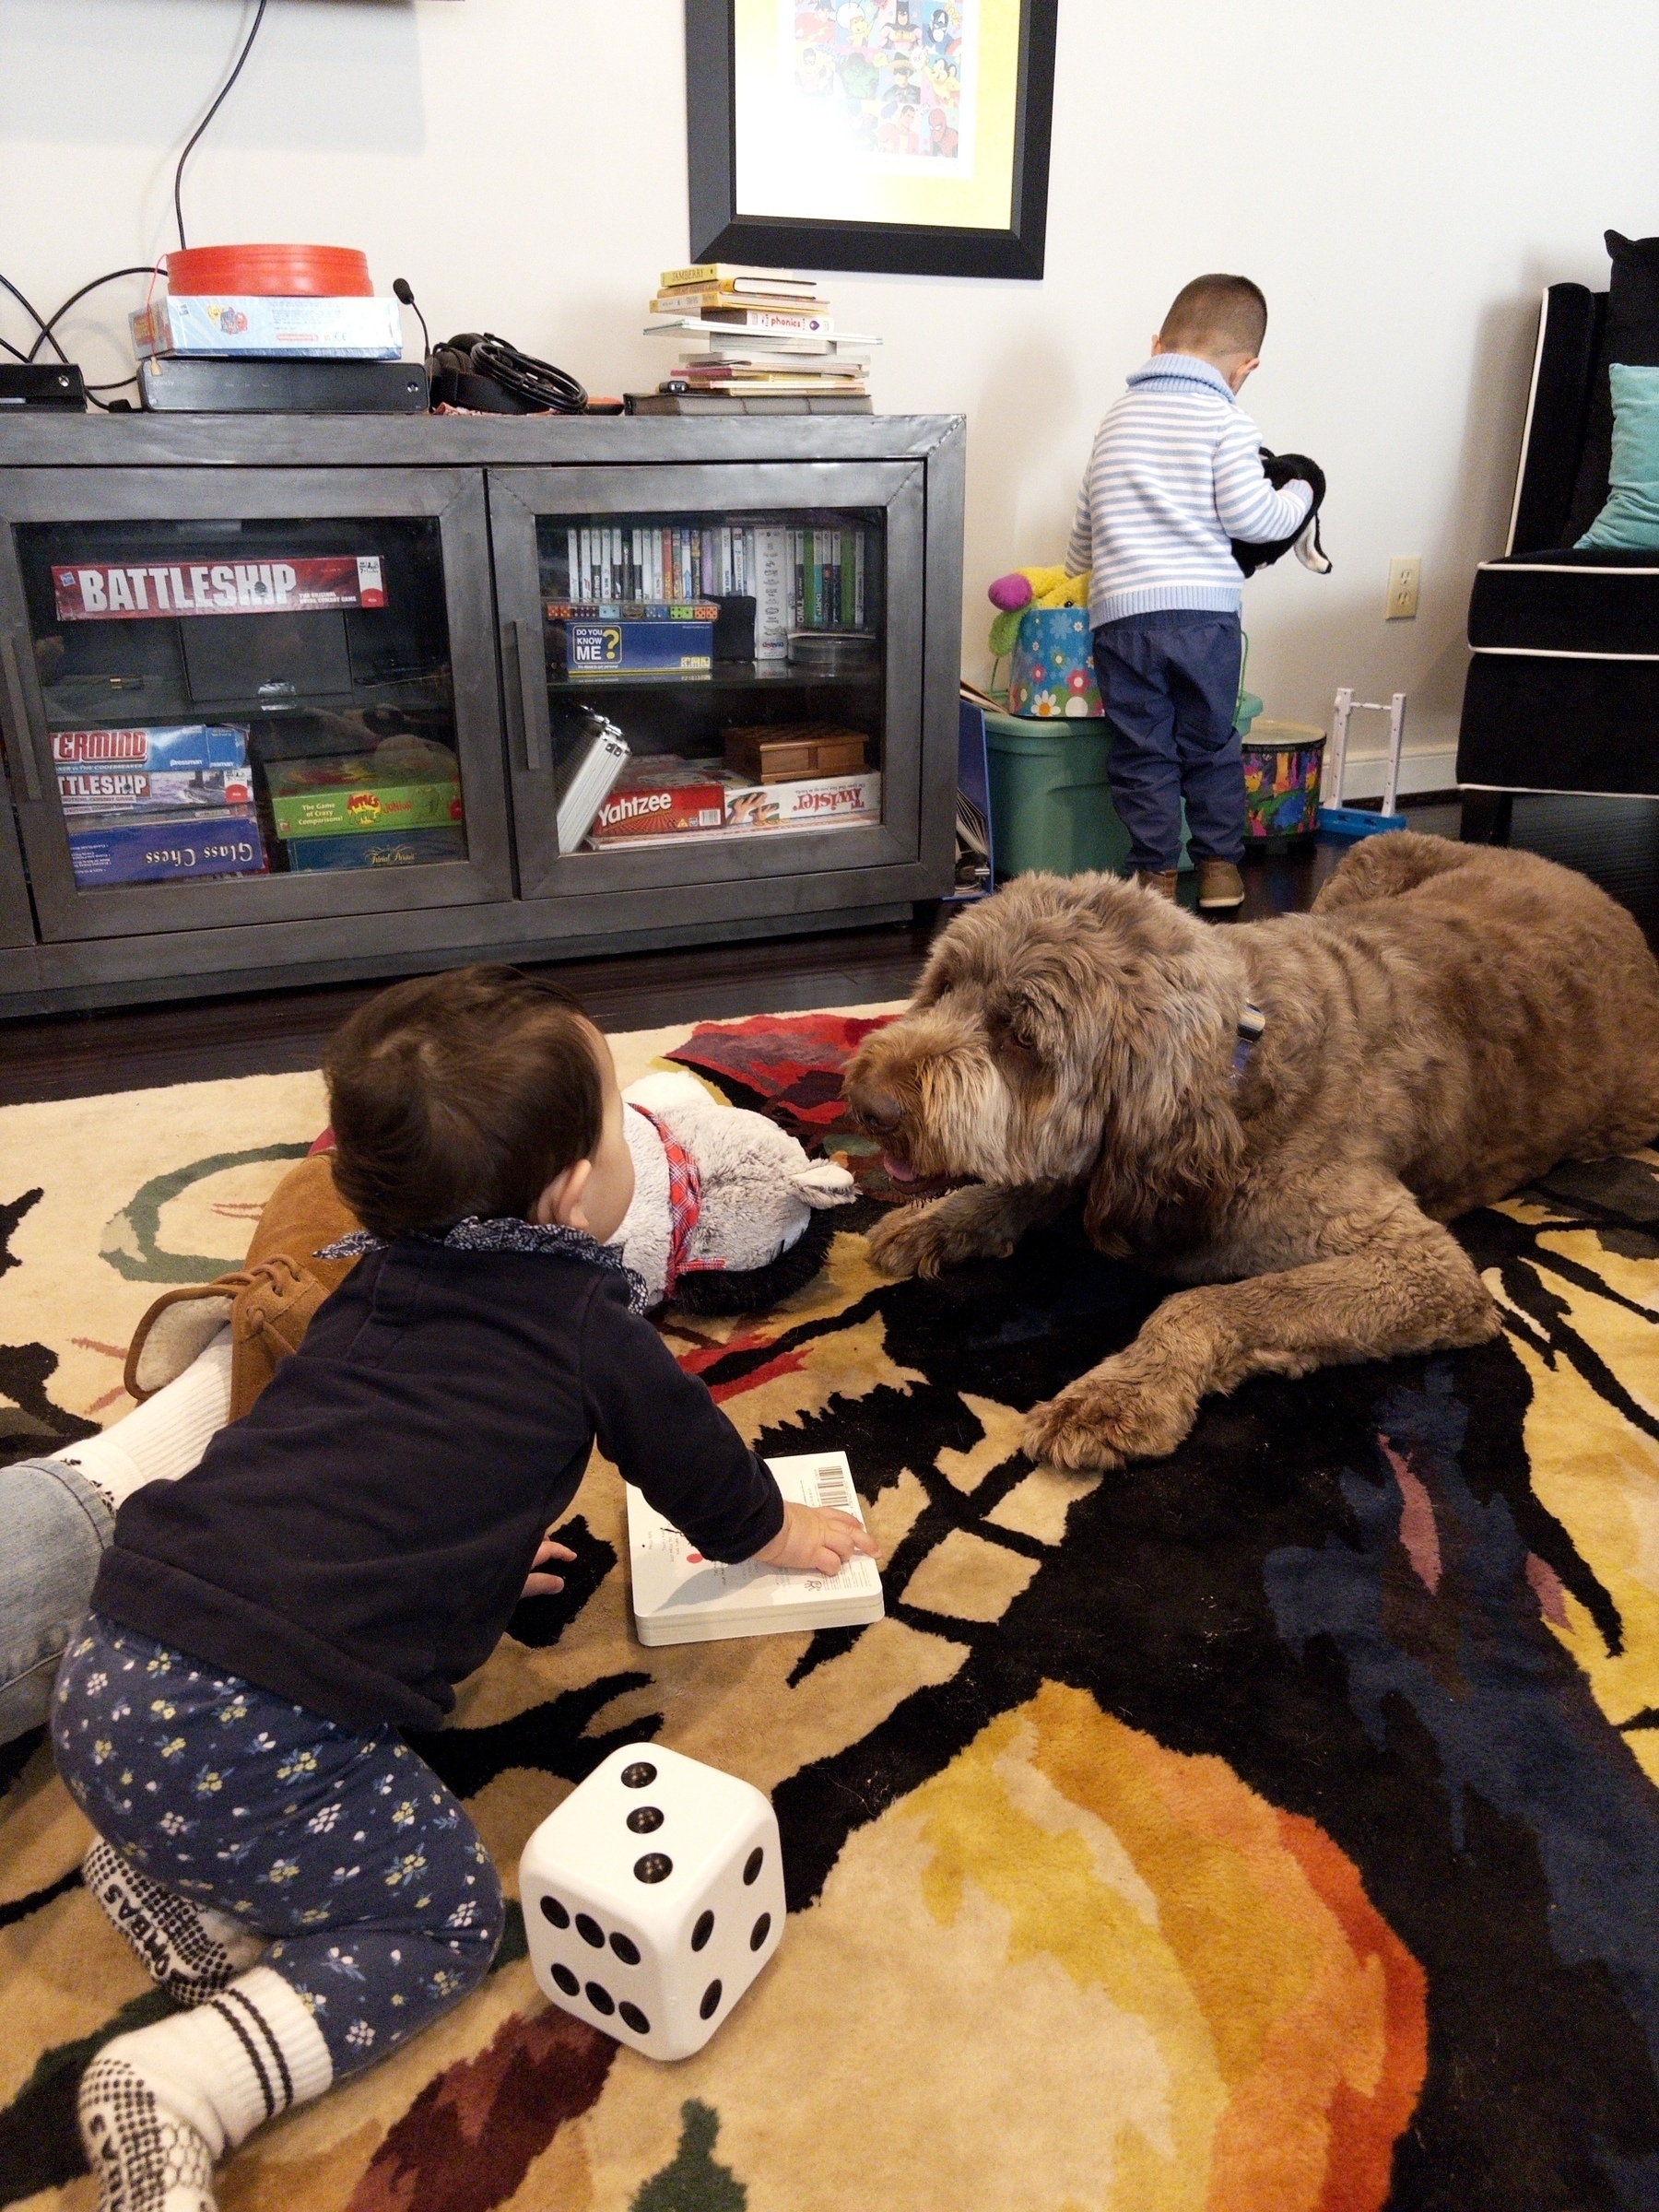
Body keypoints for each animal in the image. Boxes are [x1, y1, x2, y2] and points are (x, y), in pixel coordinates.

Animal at [844, 836, 1659, 1477]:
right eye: (944, 984)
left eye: (1021, 1038)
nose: (870, 1106)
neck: (1237, 1080)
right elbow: (1026, 1185)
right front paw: (943, 1217)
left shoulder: (1424, 1271)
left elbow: (1207, 1301)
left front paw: (1121, 1391)